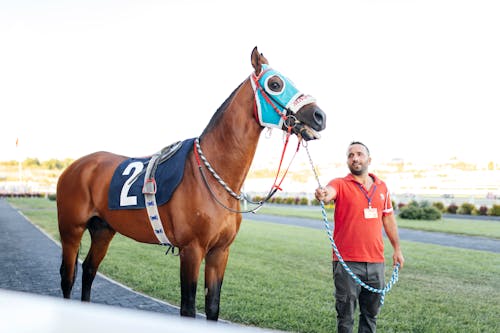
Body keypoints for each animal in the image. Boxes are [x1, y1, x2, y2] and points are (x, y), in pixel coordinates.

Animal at [56, 46, 326, 320]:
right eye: (275, 84)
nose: (319, 116)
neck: (212, 176)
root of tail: (76, 166)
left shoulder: (220, 252)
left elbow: (213, 306)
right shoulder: (191, 249)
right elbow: (188, 308)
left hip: (103, 229)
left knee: (89, 270)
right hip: (71, 230)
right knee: (68, 277)